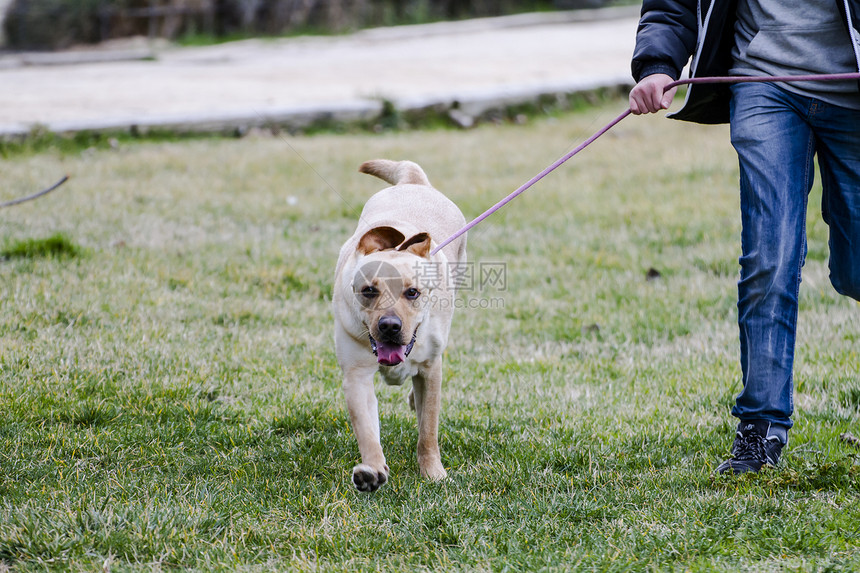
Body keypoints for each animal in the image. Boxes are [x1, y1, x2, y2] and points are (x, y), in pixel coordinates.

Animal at [332, 159, 466, 490]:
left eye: (412, 292)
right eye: (369, 290)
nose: (390, 326)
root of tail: (413, 181)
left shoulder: (431, 369)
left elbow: (428, 430)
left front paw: (433, 473)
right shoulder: (356, 375)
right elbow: (367, 431)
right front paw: (371, 471)